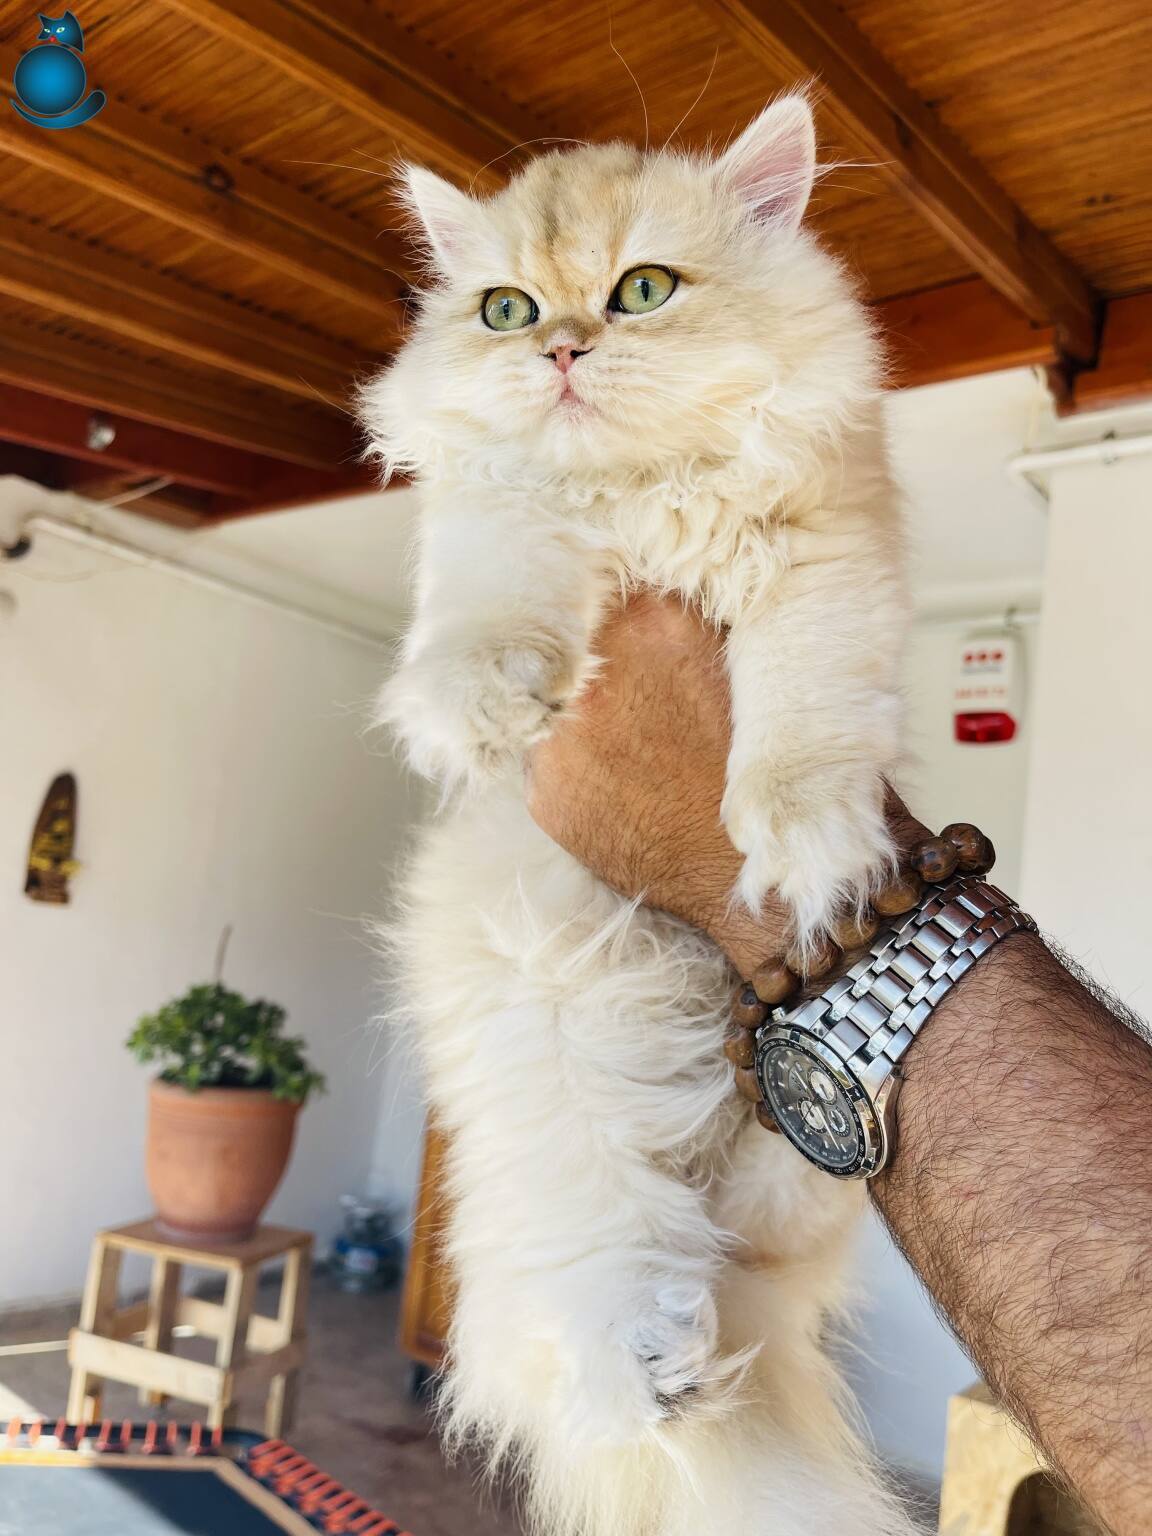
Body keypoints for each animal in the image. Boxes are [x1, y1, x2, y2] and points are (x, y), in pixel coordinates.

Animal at [362, 94, 916, 1536]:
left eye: (643, 292)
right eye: (505, 311)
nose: (562, 346)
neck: (646, 494)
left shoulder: (824, 566)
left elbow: (799, 729)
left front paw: (803, 848)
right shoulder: (499, 530)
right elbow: (498, 598)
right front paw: (478, 708)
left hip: (788, 1185)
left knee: (768, 1216)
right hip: (560, 1095)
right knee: (610, 1282)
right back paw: (660, 1364)